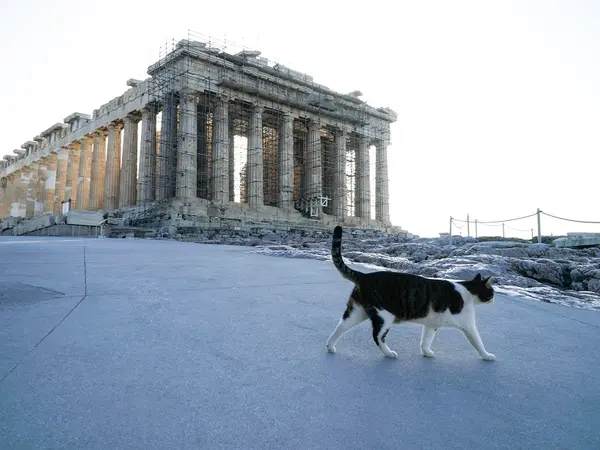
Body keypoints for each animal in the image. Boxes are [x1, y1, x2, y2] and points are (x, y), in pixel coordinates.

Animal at [326, 227, 494, 360]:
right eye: (491, 292)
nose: (493, 298)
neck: (468, 291)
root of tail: (365, 276)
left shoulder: (431, 324)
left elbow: (426, 341)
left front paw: (427, 353)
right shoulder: (468, 325)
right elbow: (478, 342)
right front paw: (487, 356)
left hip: (357, 312)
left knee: (340, 327)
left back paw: (330, 346)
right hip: (384, 315)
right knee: (377, 336)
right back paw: (389, 353)